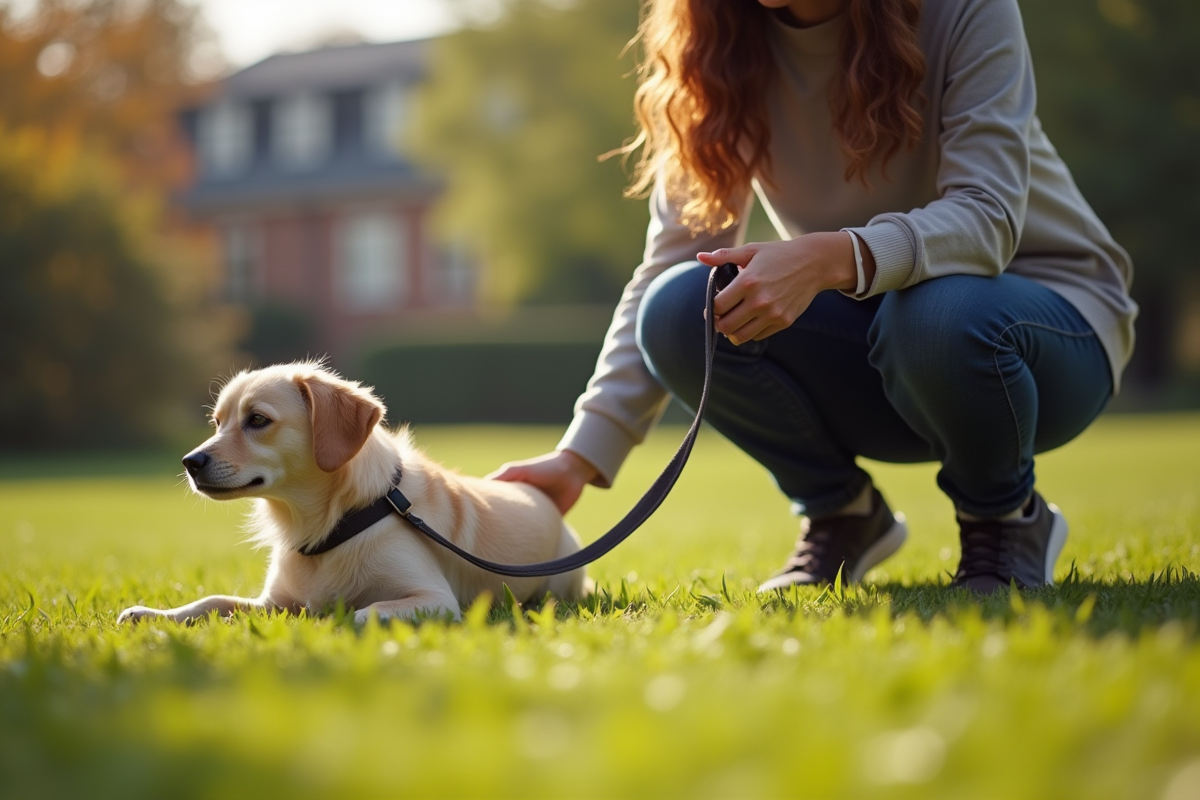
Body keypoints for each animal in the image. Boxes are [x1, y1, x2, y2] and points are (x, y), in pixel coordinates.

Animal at [117, 362, 590, 623]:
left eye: (258, 420)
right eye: (218, 422)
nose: (190, 462)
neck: (329, 524)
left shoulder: (434, 599)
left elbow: (367, 612)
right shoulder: (274, 602)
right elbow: (210, 601)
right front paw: (154, 615)